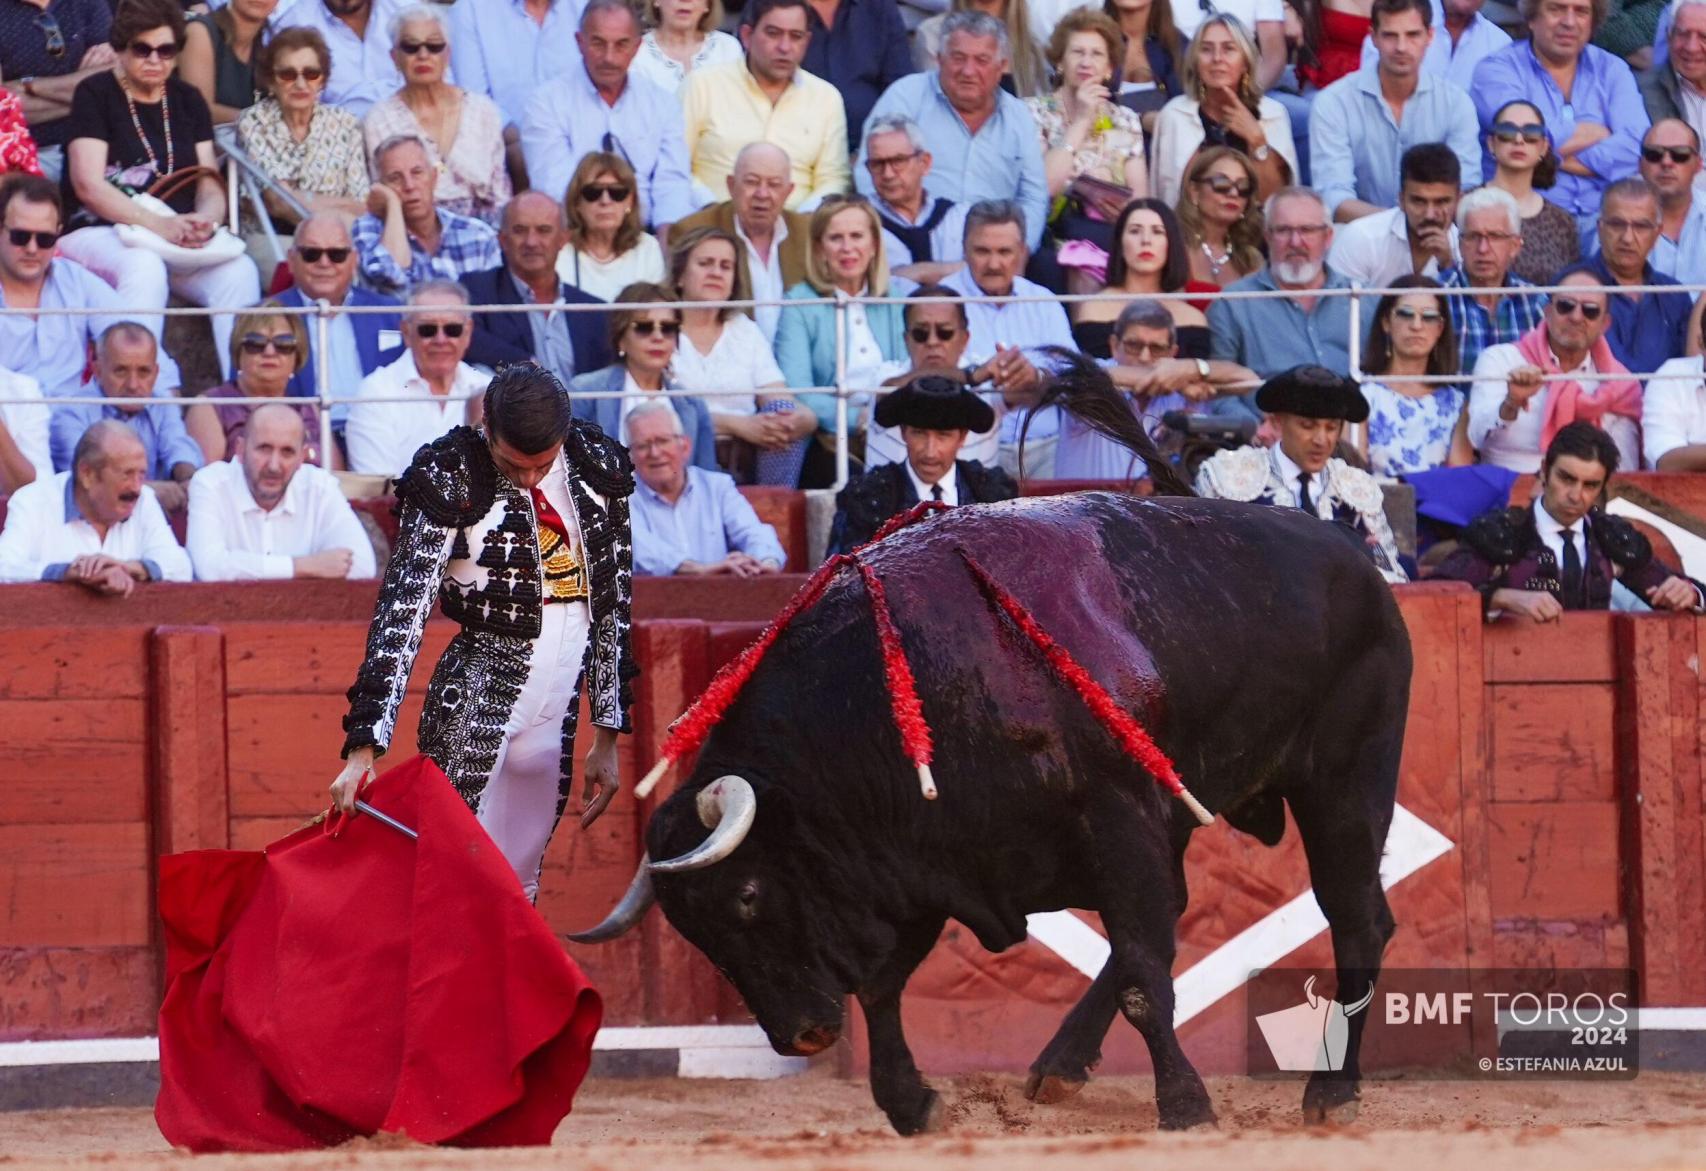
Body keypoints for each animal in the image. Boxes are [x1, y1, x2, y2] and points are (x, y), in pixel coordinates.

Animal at [580, 488, 1405, 1140]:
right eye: (694, 931)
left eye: (748, 896)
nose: (802, 1036)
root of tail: (1353, 555)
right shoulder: (914, 859)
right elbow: (881, 986)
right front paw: (911, 1104)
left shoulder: (1118, 818)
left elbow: (1145, 971)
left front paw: (1185, 1105)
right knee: (1176, 912)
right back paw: (1059, 1066)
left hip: (1345, 781)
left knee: (1355, 916)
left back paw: (1331, 1091)